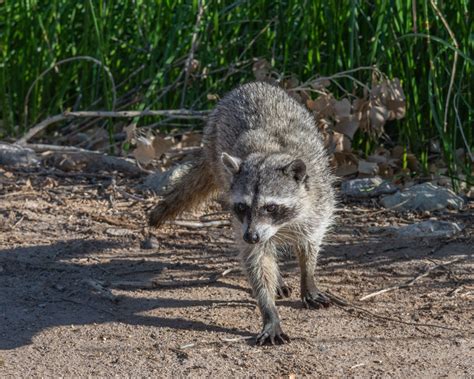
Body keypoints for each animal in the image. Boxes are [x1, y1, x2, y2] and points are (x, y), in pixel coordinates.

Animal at [150, 81, 336, 346]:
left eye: (270, 207)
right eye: (242, 207)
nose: (252, 236)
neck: (271, 153)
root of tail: (252, 84)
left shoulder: (319, 202)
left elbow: (310, 243)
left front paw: (307, 277)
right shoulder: (244, 223)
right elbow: (256, 261)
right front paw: (269, 310)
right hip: (216, 148)